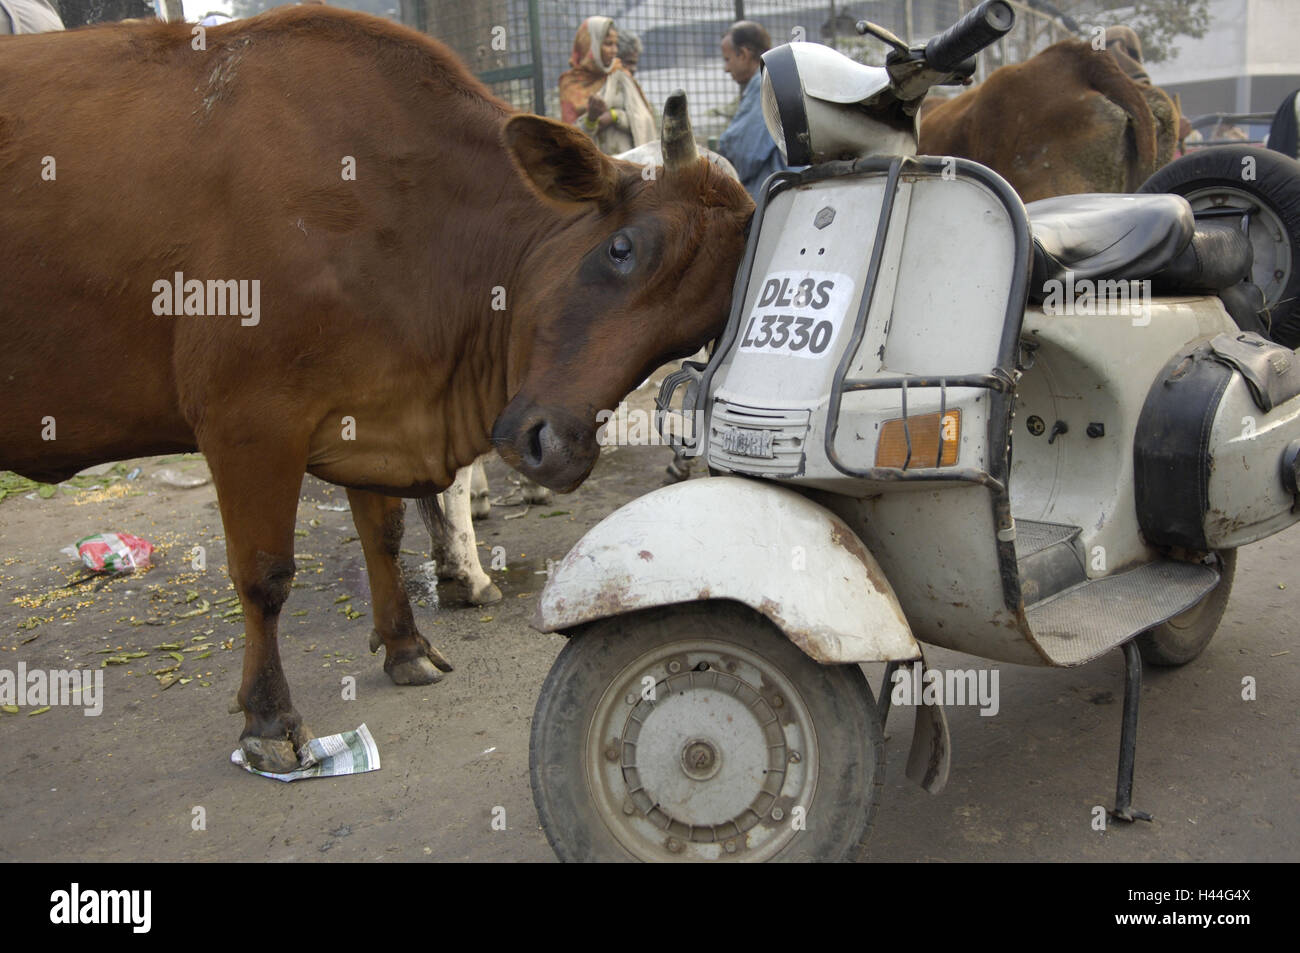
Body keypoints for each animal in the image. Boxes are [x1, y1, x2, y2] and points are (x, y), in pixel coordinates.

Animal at [0, 9, 754, 774]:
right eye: (621, 249)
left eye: (691, 332)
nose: (557, 448)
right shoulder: (247, 423)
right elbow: (264, 575)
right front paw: (268, 717)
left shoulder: (370, 408)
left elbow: (385, 536)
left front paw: (406, 645)